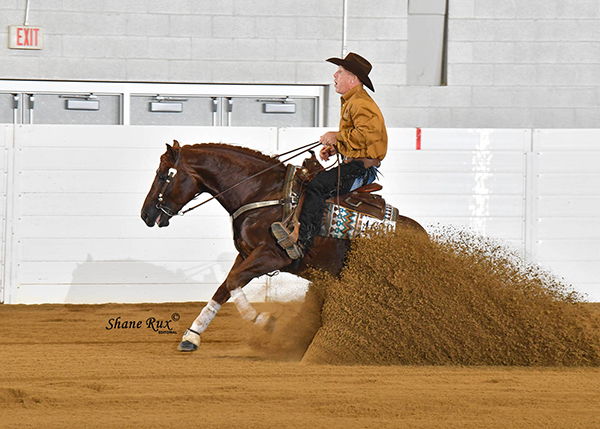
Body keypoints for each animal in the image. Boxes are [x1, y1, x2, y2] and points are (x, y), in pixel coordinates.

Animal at [139, 140, 426, 352]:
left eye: (163, 176)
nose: (145, 214)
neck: (262, 193)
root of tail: (423, 237)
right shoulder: (245, 254)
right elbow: (224, 287)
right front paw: (192, 336)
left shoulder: (271, 257)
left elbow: (232, 282)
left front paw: (263, 321)